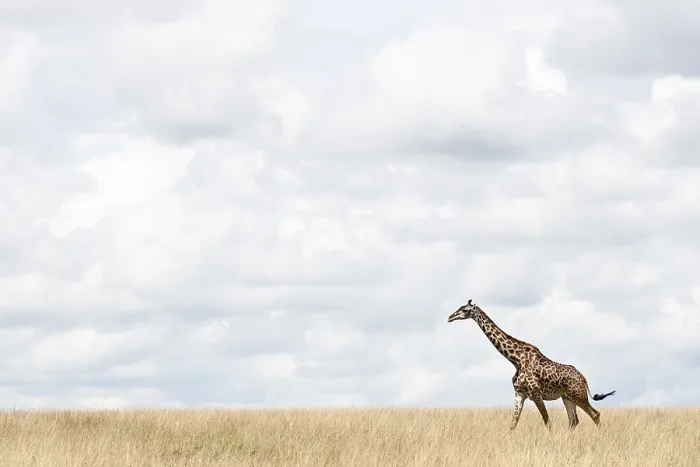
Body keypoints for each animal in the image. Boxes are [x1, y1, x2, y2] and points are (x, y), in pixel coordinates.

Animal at [447, 299, 615, 431]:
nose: (450, 317)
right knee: (573, 420)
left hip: (578, 395)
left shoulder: (536, 393)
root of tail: (583, 378)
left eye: (465, 310)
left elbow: (548, 422)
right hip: (567, 397)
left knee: (595, 414)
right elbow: (513, 424)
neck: (516, 360)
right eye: (459, 307)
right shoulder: (519, 394)